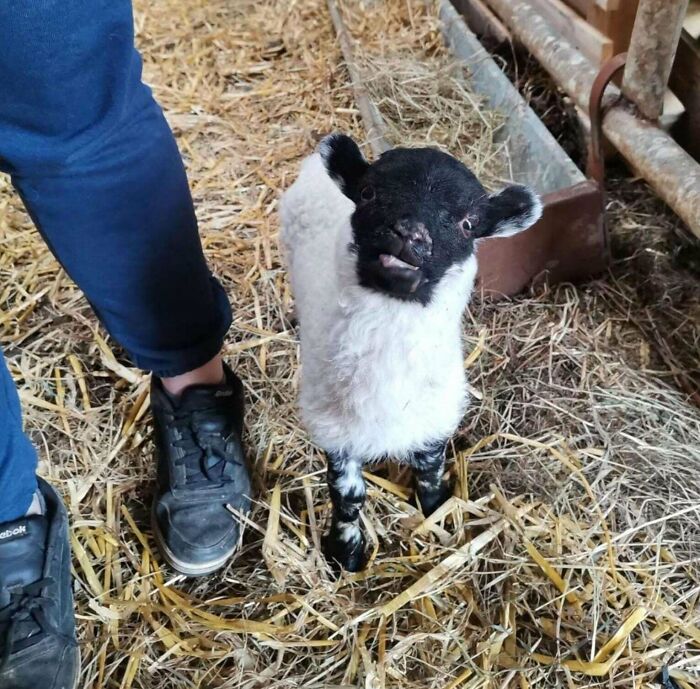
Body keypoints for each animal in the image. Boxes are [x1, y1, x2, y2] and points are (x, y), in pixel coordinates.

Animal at [279, 134, 542, 571]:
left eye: (467, 224)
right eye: (367, 193)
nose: (408, 234)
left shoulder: (433, 417)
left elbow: (429, 469)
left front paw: (435, 509)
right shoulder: (335, 431)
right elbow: (347, 494)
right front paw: (345, 553)